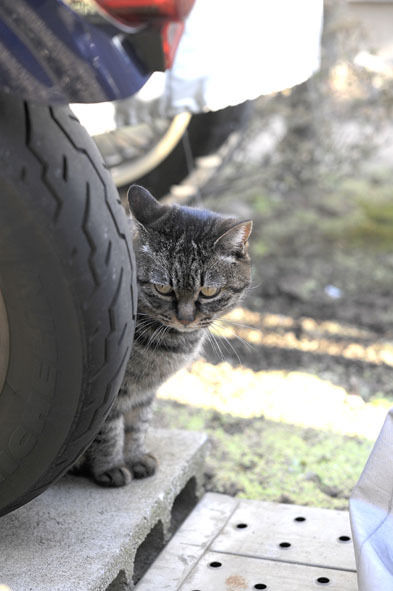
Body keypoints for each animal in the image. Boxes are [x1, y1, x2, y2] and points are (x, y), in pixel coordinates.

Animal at [74, 185, 251, 486]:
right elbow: (108, 430)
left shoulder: (144, 392)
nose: (186, 319)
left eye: (208, 291)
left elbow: (138, 424)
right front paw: (110, 466)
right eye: (163, 288)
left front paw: (135, 458)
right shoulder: (109, 387)